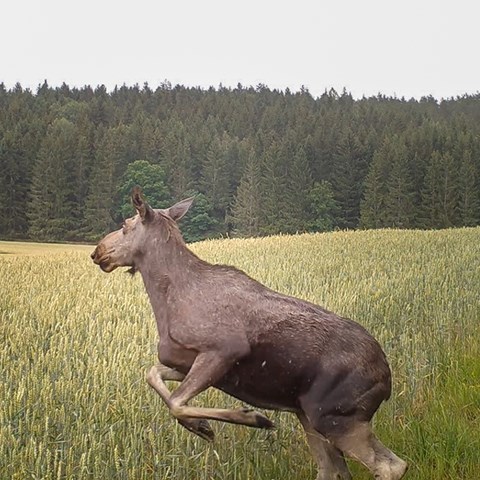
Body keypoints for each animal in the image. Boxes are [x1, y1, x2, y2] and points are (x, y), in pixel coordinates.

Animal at [92, 188, 406, 480]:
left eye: (125, 224)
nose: (97, 251)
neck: (165, 300)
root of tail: (387, 378)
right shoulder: (187, 362)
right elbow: (154, 378)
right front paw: (202, 426)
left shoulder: (224, 349)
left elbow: (177, 403)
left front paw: (248, 418)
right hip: (311, 415)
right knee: (333, 470)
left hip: (336, 416)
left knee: (391, 466)